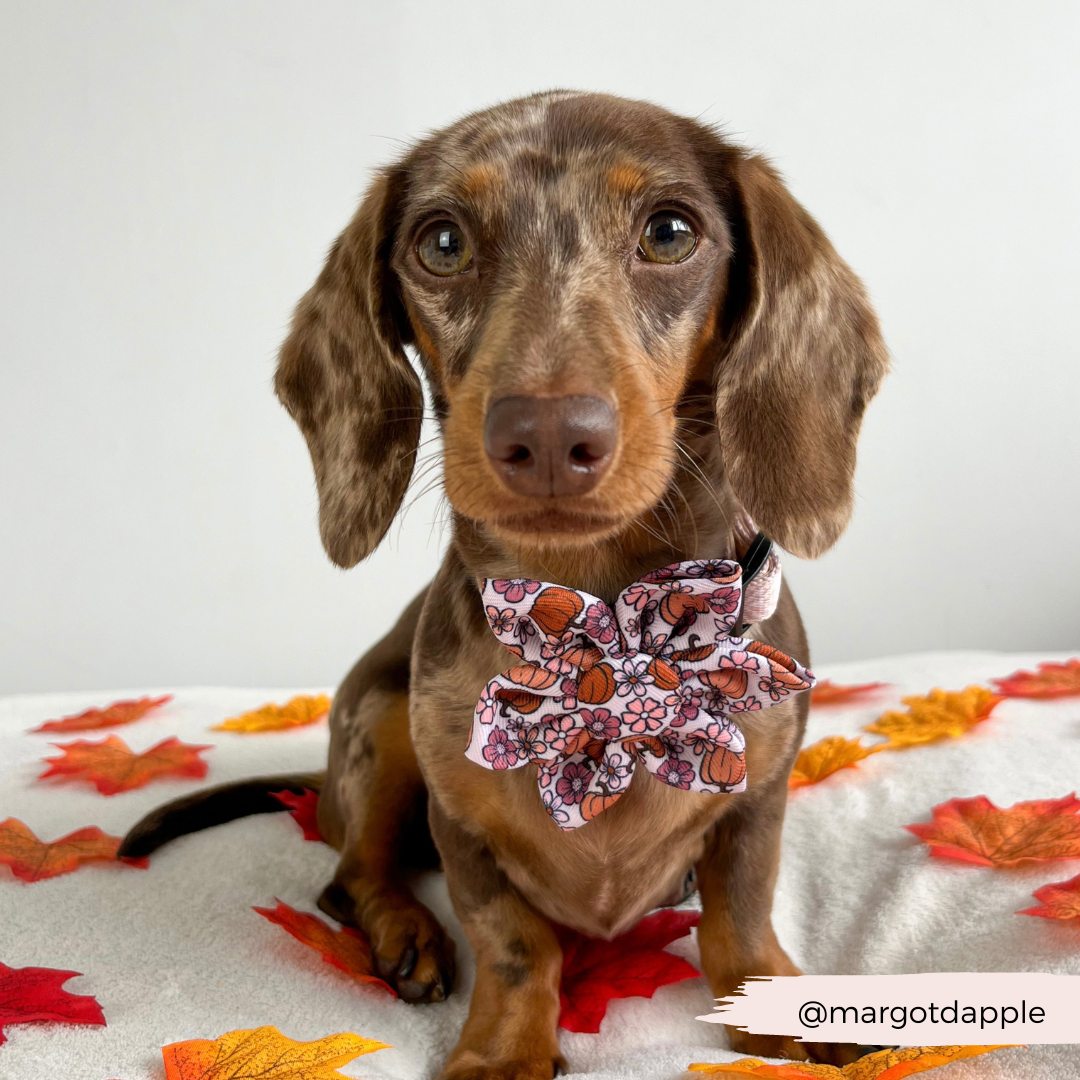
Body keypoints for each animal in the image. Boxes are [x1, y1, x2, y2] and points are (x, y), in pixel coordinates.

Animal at [124, 95, 885, 1080]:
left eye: (670, 231)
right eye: (442, 242)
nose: (549, 437)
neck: (595, 613)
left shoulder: (758, 797)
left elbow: (742, 915)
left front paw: (775, 1001)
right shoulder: (463, 822)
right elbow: (514, 942)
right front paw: (502, 1050)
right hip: (379, 723)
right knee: (348, 877)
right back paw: (404, 933)